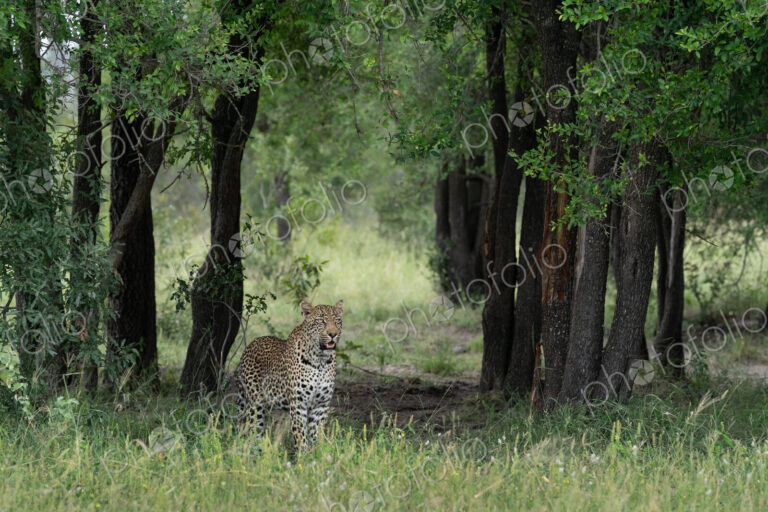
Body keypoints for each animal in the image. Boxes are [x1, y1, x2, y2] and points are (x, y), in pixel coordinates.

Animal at [230, 299, 343, 450]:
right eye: (321, 321)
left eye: (337, 321)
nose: (333, 334)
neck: (320, 359)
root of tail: (249, 345)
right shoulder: (298, 403)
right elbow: (300, 435)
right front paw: (303, 454)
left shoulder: (321, 405)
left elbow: (316, 434)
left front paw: (318, 453)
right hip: (255, 404)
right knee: (254, 431)